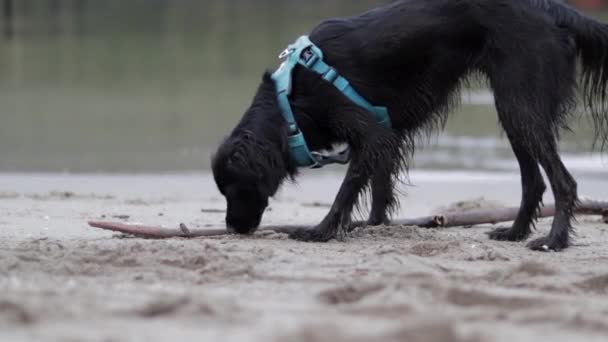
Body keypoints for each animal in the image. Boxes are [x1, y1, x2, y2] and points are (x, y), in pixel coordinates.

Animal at [213, 0, 608, 251]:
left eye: (234, 187)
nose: (232, 228)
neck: (289, 101)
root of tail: (552, 9)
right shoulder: (384, 136)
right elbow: (379, 188)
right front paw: (373, 226)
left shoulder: (371, 134)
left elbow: (346, 191)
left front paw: (323, 230)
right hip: (515, 109)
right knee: (535, 181)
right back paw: (515, 233)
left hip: (520, 106)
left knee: (565, 183)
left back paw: (554, 241)